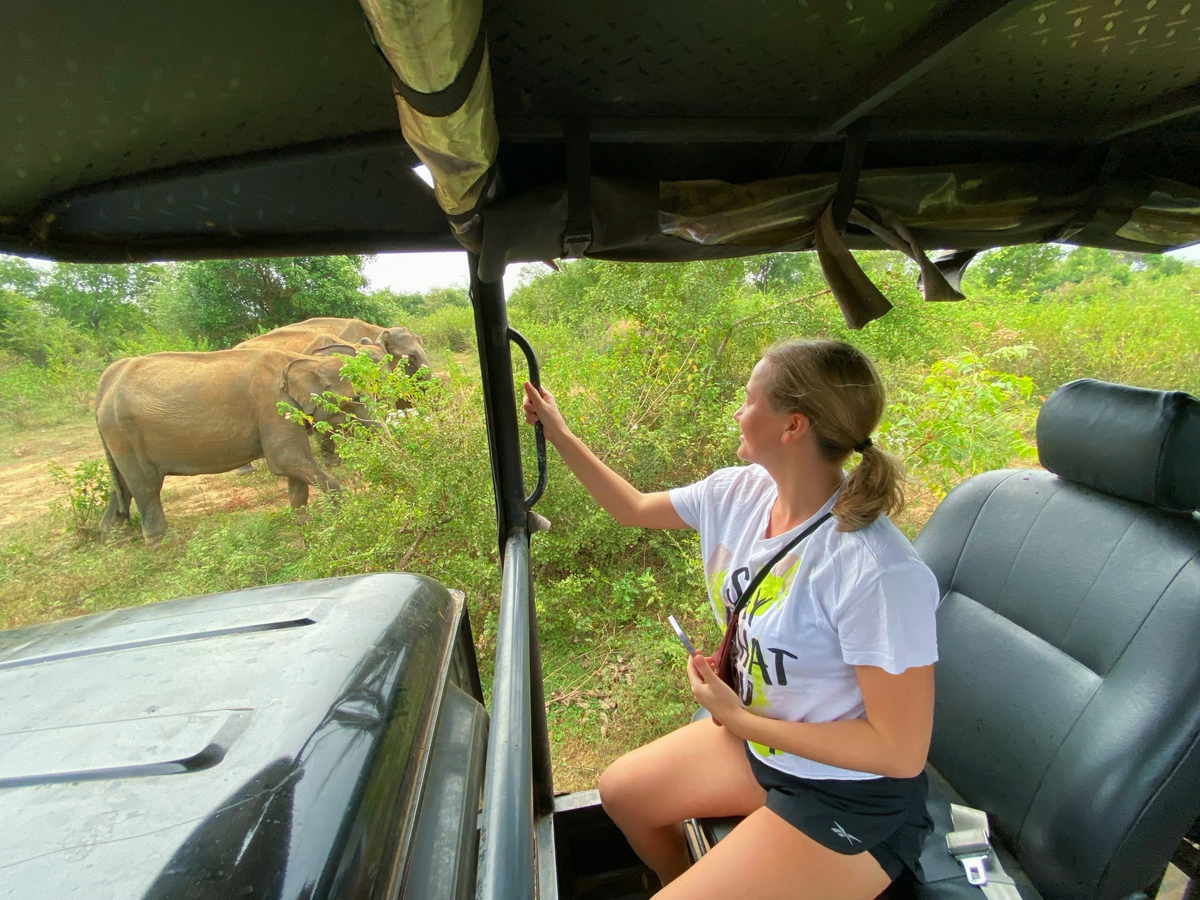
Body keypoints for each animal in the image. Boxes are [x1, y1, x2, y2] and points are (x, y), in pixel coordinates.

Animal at [97, 348, 364, 547]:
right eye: (356, 398)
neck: (303, 359)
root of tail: (106, 383)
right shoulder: (273, 406)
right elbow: (285, 460)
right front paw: (343, 514)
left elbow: (293, 469)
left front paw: (304, 524)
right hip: (124, 432)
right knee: (145, 485)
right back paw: (162, 543)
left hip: (119, 436)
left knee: (123, 484)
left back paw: (113, 537)